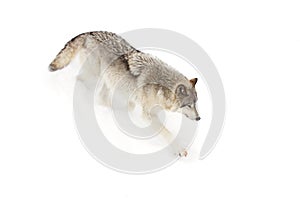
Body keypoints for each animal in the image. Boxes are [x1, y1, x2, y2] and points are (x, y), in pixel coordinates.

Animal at [48, 30, 199, 156]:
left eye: (196, 104)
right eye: (189, 105)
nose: (199, 118)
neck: (160, 89)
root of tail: (90, 32)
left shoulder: (139, 104)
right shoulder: (146, 115)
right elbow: (166, 133)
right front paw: (179, 149)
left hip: (110, 81)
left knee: (102, 98)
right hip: (94, 76)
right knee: (79, 82)